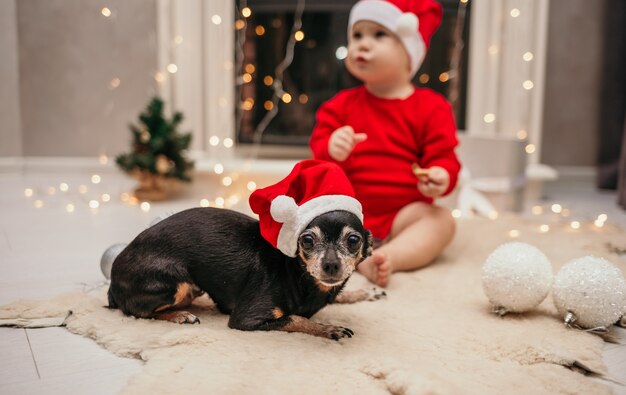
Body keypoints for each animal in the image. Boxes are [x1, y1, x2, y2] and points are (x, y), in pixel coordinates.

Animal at [107, 159, 386, 338]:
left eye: (353, 240)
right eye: (307, 240)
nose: (330, 265)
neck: (298, 274)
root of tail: (113, 279)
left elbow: (337, 297)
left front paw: (365, 292)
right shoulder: (247, 318)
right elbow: (298, 318)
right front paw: (329, 328)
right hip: (175, 284)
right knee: (137, 311)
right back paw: (179, 315)